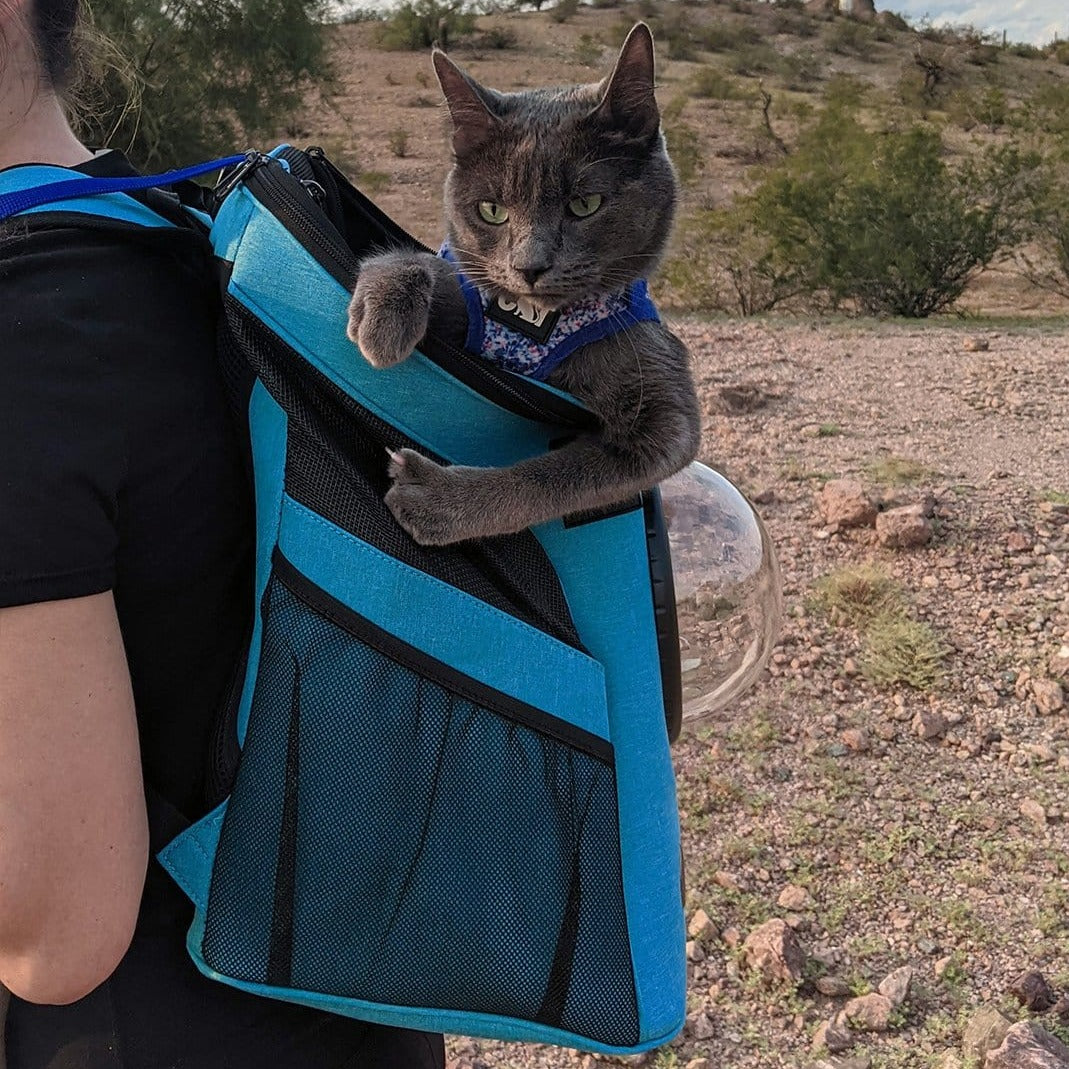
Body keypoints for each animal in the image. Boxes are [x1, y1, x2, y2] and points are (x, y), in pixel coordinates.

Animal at [348, 21, 701, 547]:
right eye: (492, 210)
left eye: (585, 205)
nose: (528, 266)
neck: (535, 322)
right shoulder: (472, 293)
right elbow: (427, 263)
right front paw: (381, 315)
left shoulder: (664, 415)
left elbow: (552, 477)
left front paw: (437, 500)